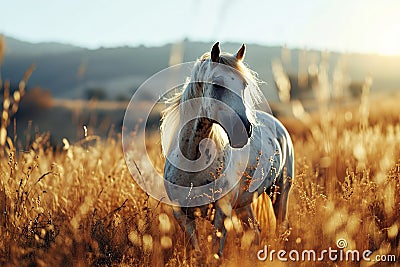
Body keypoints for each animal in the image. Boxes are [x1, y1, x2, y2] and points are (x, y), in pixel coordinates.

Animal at [159, 42, 294, 258]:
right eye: (216, 84)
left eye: (244, 85)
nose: (243, 130)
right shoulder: (182, 215)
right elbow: (197, 253)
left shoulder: (222, 213)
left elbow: (216, 253)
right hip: (245, 204)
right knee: (255, 231)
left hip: (280, 191)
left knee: (281, 226)